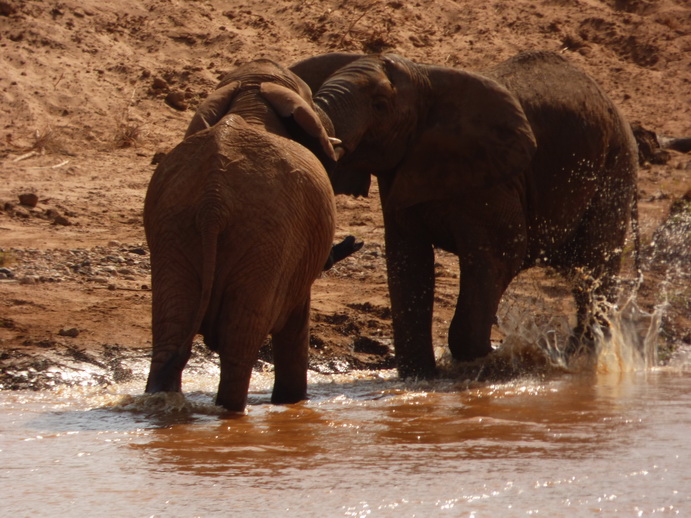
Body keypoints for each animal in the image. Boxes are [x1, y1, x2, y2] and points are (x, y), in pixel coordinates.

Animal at [144, 59, 344, 412]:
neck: (251, 94)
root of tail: (213, 202)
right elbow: (295, 323)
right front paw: (293, 402)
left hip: (174, 228)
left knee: (171, 332)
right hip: (267, 241)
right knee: (239, 345)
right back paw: (233, 410)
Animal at [290, 50, 636, 380]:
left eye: (380, 105)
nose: (352, 241)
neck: (424, 78)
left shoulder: (493, 179)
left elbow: (500, 255)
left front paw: (487, 364)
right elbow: (408, 264)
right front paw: (421, 377)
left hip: (615, 167)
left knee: (594, 266)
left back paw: (582, 359)